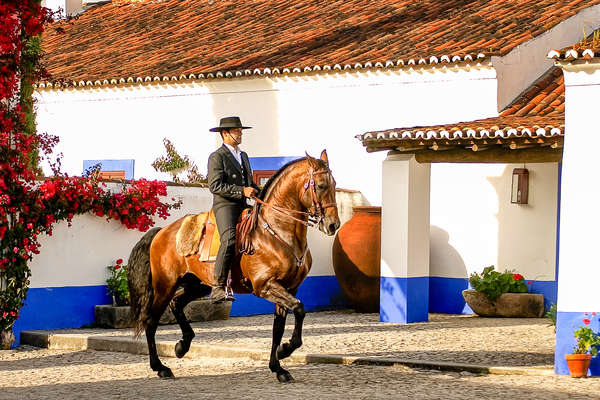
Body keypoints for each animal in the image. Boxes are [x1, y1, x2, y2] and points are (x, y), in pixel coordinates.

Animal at [127, 150, 340, 382]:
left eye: (334, 184)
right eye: (320, 186)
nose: (333, 225)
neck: (278, 233)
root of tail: (162, 232)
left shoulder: (289, 288)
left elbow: (279, 327)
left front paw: (278, 367)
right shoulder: (266, 286)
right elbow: (299, 309)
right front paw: (285, 350)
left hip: (198, 284)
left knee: (177, 303)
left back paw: (182, 346)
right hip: (165, 285)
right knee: (151, 321)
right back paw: (160, 366)